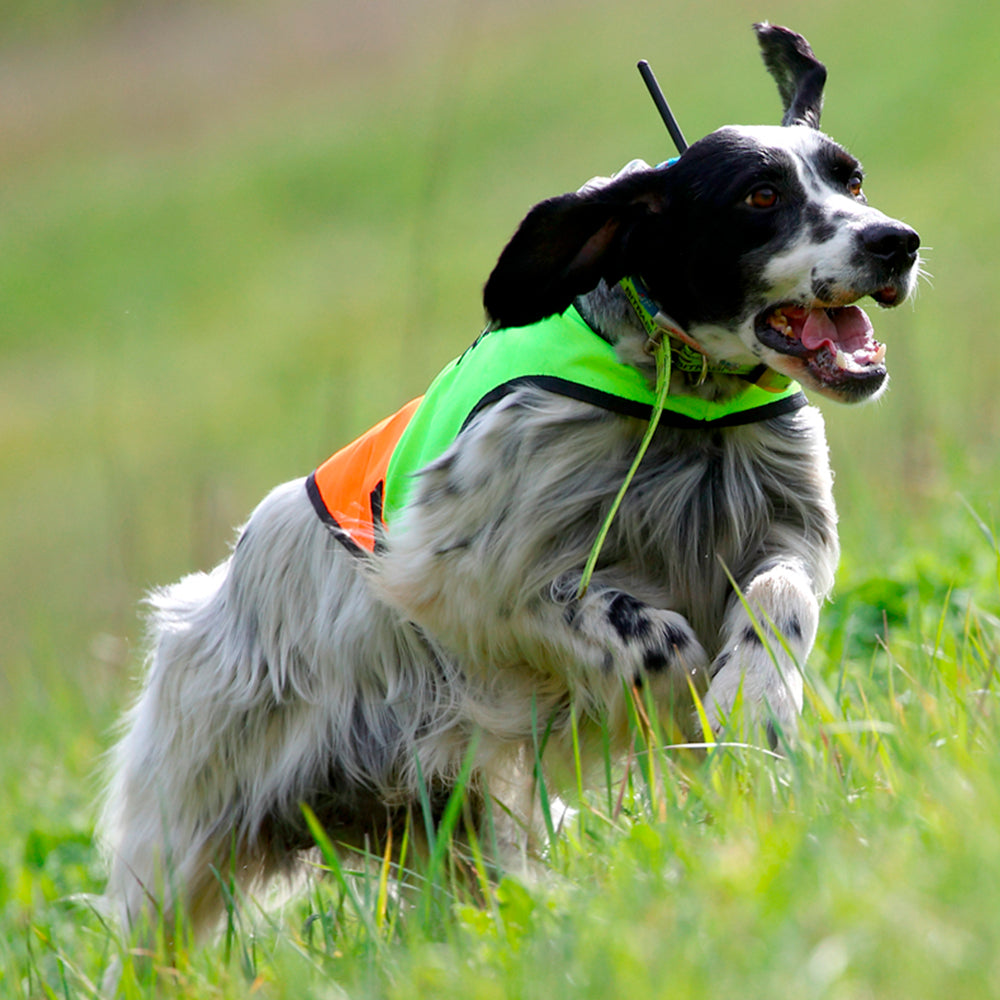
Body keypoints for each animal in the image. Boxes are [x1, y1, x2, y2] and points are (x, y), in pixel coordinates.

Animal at [101, 23, 920, 940]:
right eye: (760, 196)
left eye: (851, 180)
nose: (895, 241)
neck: (685, 405)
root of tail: (210, 597)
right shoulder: (466, 583)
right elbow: (653, 634)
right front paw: (686, 708)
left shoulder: (787, 530)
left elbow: (778, 600)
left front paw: (754, 704)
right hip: (182, 845)